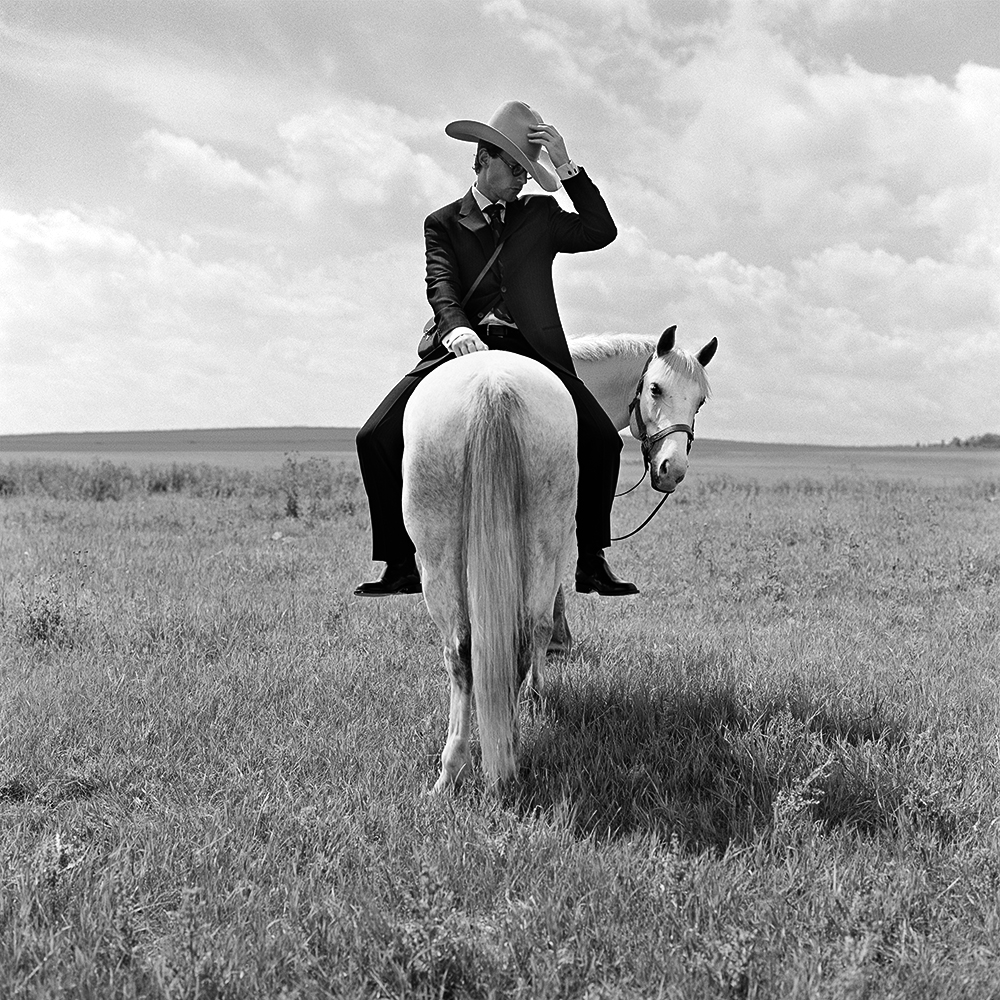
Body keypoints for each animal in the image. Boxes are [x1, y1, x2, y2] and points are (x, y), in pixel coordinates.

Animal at [402, 328, 716, 788]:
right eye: (655, 388)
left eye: (700, 401)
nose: (671, 469)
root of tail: (490, 387)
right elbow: (551, 612)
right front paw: (550, 666)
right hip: (534, 540)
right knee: (512, 636)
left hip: (442, 553)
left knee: (465, 650)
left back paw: (458, 767)